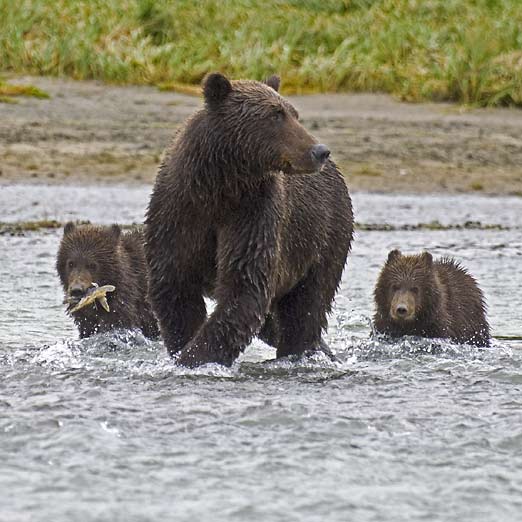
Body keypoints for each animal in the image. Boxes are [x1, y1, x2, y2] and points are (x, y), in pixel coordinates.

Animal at [144, 73, 352, 366]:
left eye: (294, 113)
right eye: (276, 114)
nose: (320, 151)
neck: (219, 185)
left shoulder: (253, 213)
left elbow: (243, 289)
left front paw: (193, 357)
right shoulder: (179, 212)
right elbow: (176, 289)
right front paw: (182, 352)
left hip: (322, 237)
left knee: (307, 307)